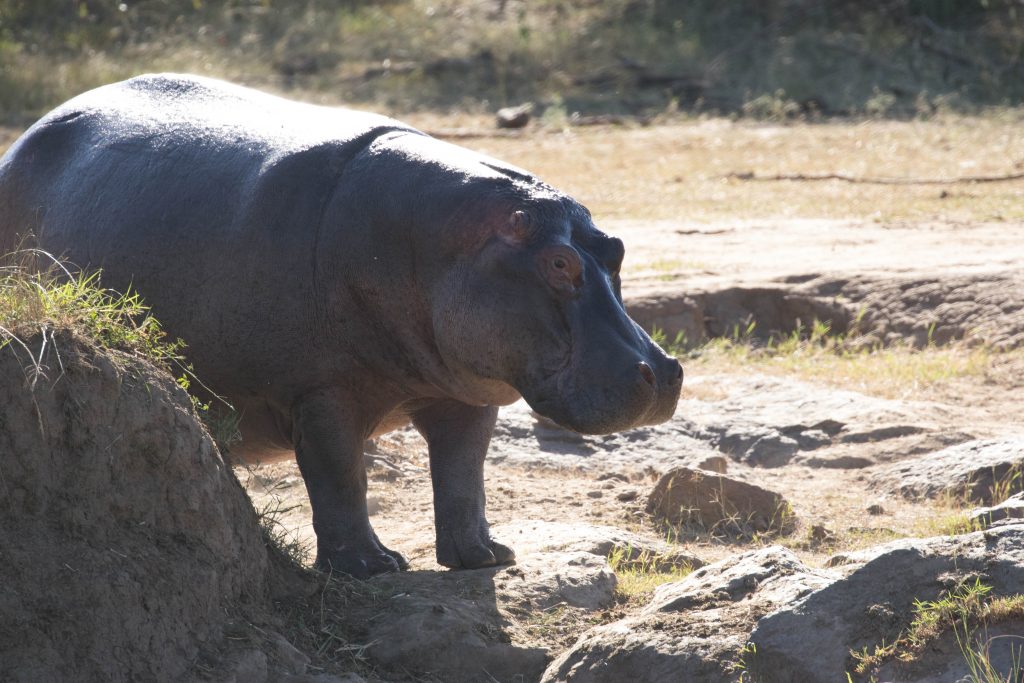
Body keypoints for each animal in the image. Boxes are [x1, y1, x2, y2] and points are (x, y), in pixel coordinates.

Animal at [2, 74, 688, 577]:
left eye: (617, 249)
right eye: (558, 263)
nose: (662, 372)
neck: (440, 242)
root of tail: (29, 134)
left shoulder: (466, 393)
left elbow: (464, 476)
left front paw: (485, 558)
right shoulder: (320, 393)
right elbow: (341, 479)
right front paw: (372, 568)